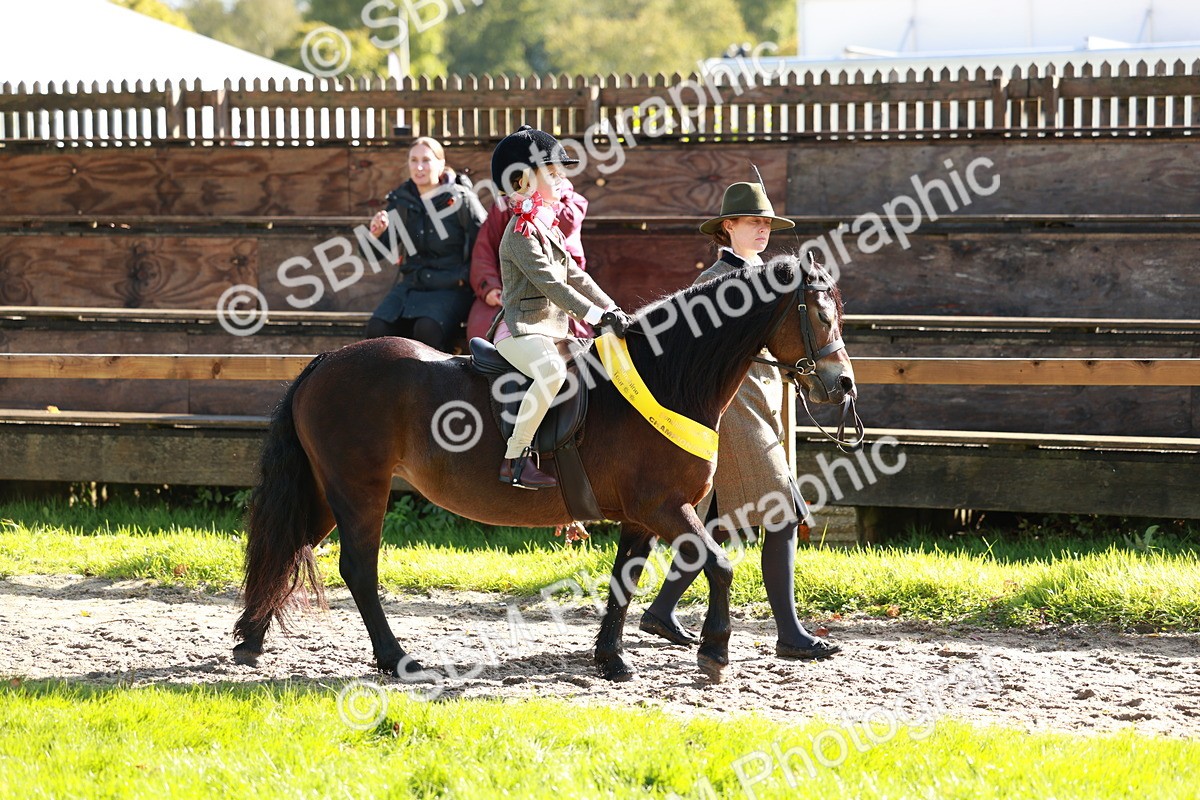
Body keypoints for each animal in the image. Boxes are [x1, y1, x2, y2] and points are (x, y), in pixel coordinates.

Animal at [232, 255, 856, 682]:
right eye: (820, 314)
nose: (843, 384)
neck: (667, 378)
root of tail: (325, 361)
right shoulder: (665, 507)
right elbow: (720, 565)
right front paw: (714, 653)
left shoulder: (642, 517)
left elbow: (624, 582)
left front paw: (611, 660)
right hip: (360, 490)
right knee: (358, 568)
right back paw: (394, 657)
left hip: (326, 492)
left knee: (289, 545)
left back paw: (250, 640)